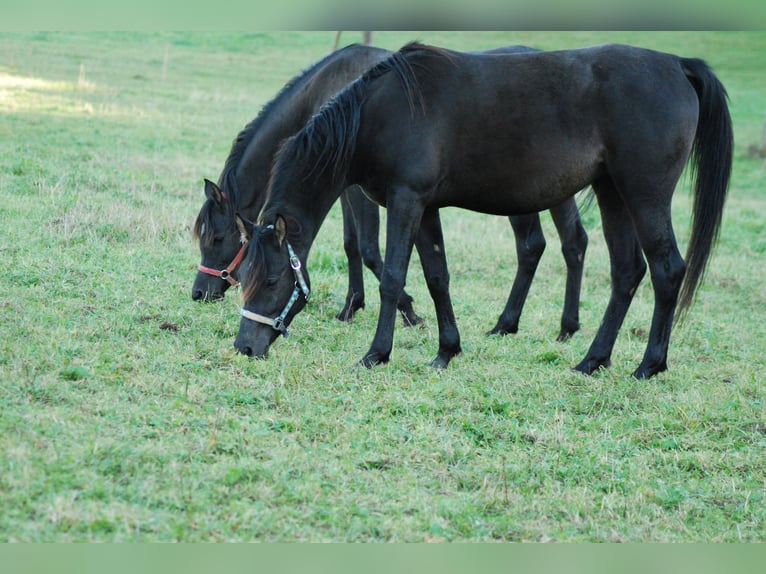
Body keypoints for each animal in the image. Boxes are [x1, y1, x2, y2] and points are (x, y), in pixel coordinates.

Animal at [190, 45, 588, 342]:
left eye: (218, 238)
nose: (199, 292)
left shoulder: (361, 193)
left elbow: (368, 249)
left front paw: (409, 311)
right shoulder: (346, 191)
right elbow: (352, 245)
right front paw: (352, 306)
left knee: (547, 244)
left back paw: (537, 326)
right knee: (558, 244)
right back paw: (533, 325)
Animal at [237, 42, 736, 380]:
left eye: (274, 280)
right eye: (243, 276)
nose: (244, 346)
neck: (380, 115)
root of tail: (676, 64)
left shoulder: (405, 201)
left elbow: (394, 277)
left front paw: (377, 353)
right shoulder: (426, 208)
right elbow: (437, 276)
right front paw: (447, 350)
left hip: (644, 195)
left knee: (667, 271)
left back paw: (649, 364)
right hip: (612, 192)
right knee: (626, 272)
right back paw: (592, 359)